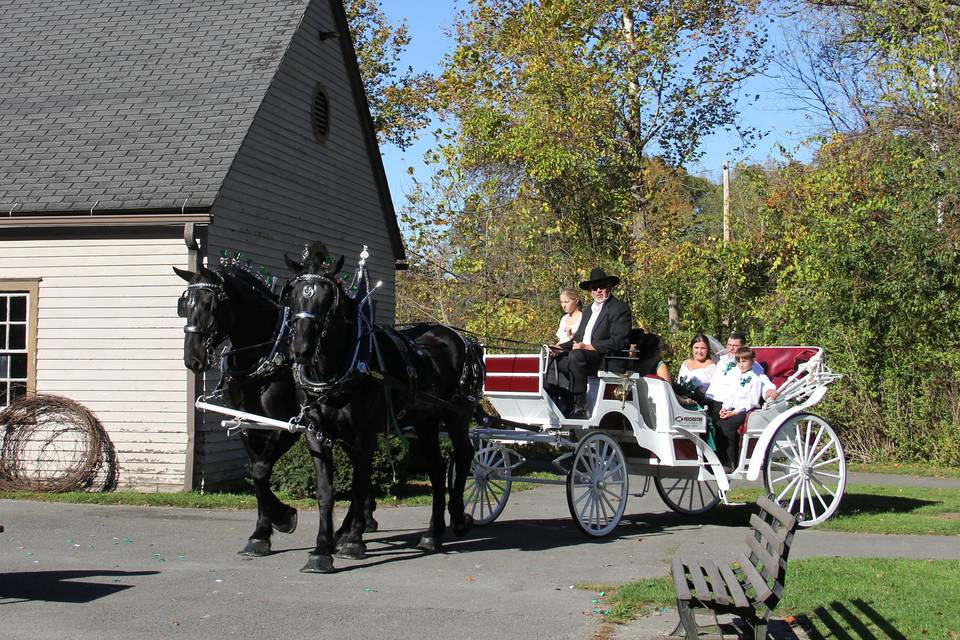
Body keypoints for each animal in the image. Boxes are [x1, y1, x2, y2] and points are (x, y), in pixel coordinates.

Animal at [284, 242, 480, 572]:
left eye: (328, 299)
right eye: (294, 293)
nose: (301, 349)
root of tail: (460, 338)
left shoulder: (365, 433)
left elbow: (360, 484)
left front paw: (352, 540)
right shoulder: (317, 432)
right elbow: (326, 492)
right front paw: (322, 549)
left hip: (456, 415)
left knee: (464, 454)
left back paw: (458, 517)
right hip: (426, 421)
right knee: (437, 468)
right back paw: (433, 534)